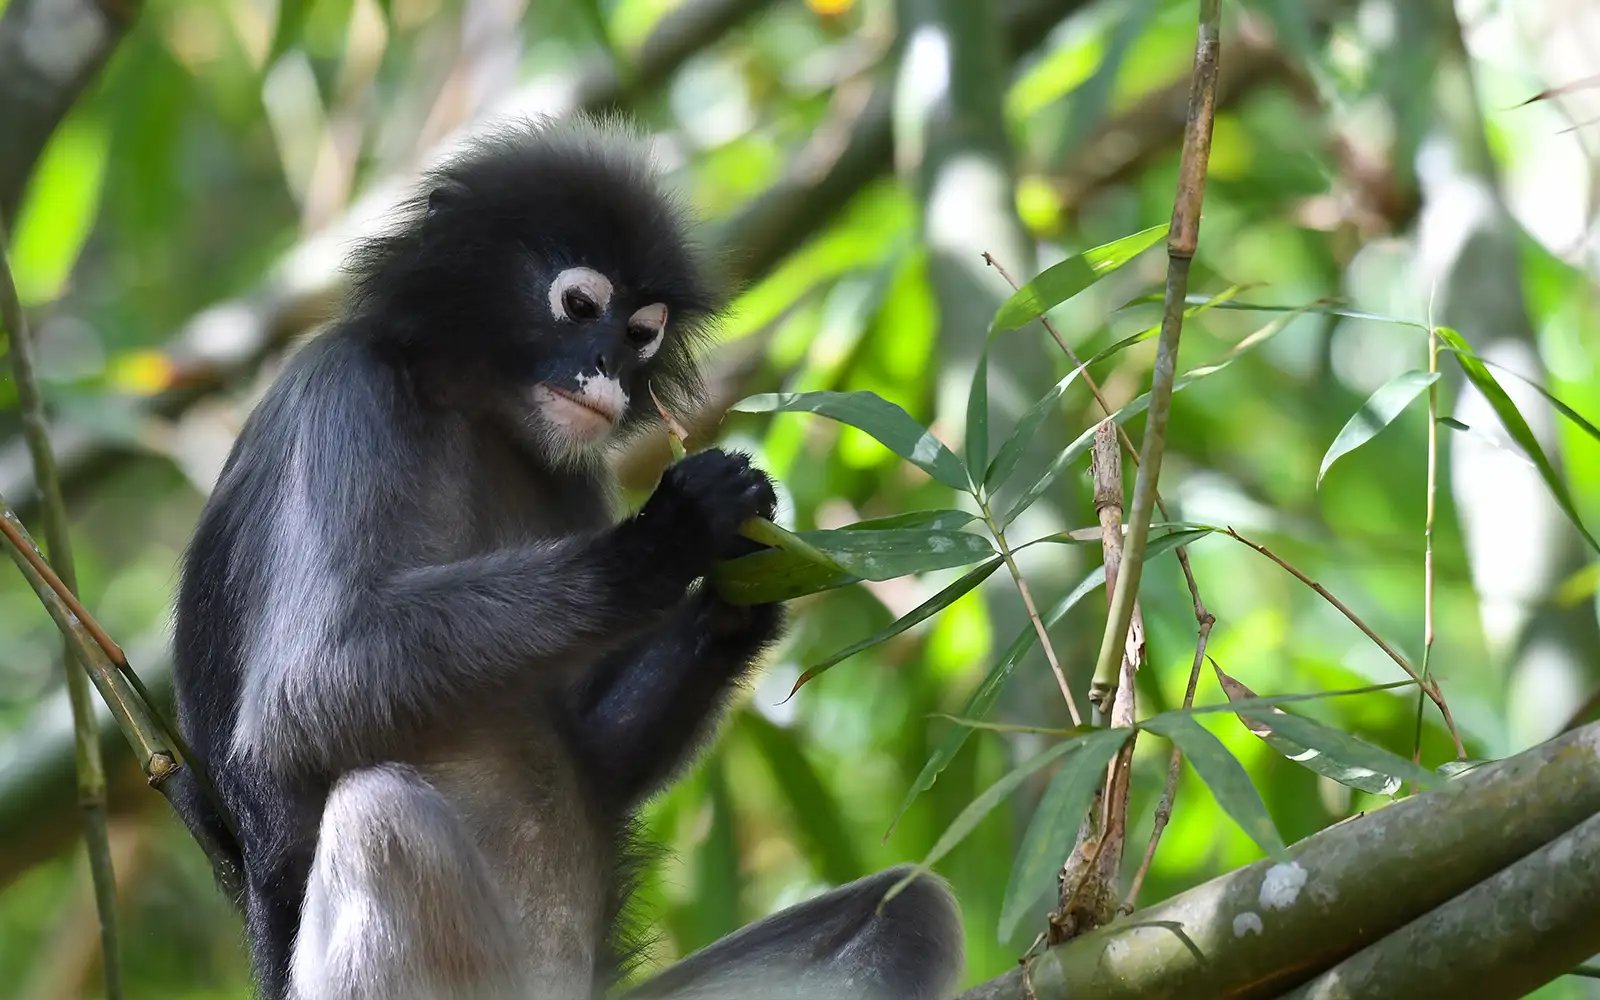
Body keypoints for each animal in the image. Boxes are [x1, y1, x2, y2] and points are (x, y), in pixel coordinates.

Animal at [171, 117, 963, 1000]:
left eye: (641, 334)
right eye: (579, 305)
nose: (609, 369)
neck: (476, 412)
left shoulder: (572, 473)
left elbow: (596, 748)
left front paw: (744, 589)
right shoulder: (344, 394)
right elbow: (300, 689)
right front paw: (664, 542)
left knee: (912, 906)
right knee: (385, 817)